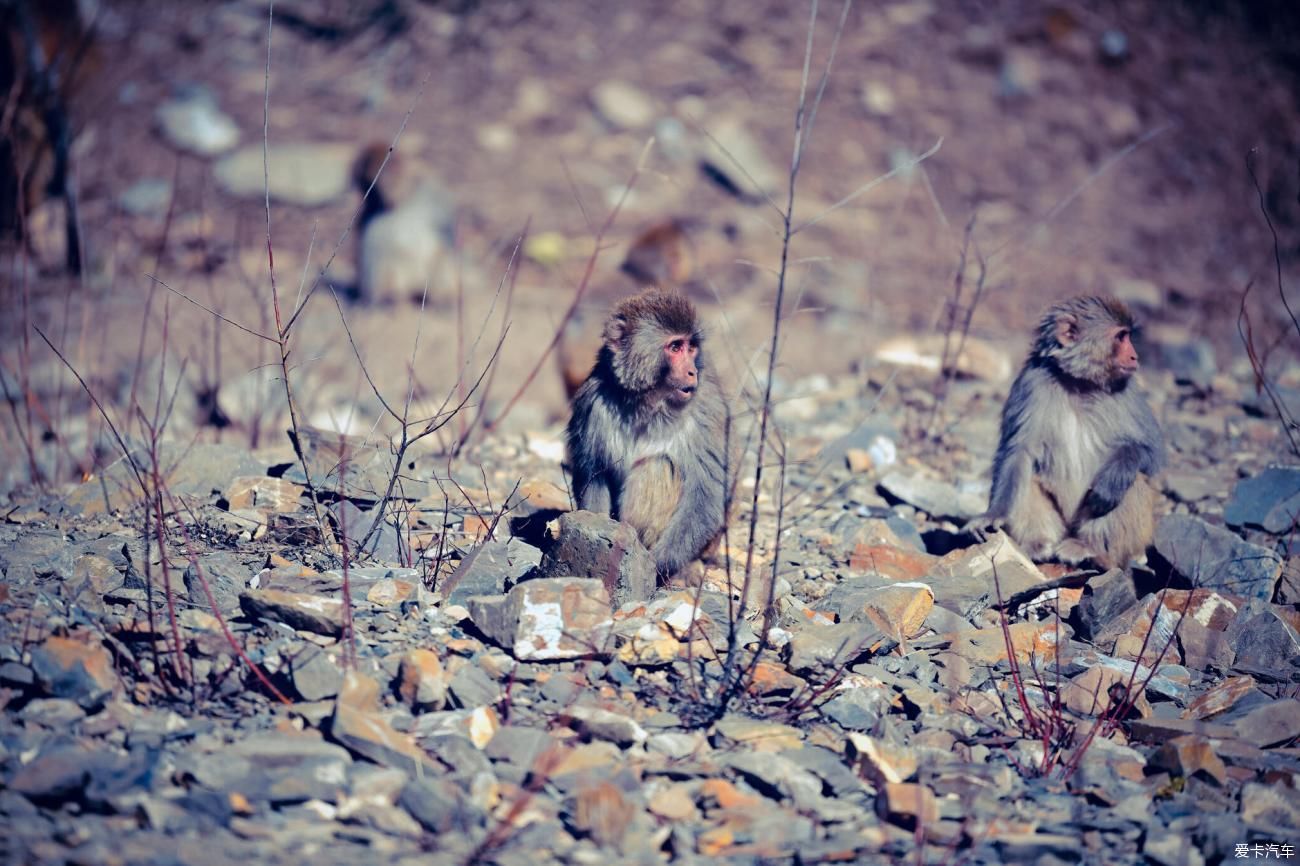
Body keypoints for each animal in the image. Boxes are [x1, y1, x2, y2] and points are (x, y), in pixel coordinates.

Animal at [351, 141, 457, 302]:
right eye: (373, 183)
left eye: (394, 174)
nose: (389, 192)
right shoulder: (369, 216)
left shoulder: (434, 193)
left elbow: (444, 233)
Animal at [566, 286, 733, 577]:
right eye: (675, 347)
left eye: (691, 347)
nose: (692, 372)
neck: (647, 404)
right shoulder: (591, 403)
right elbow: (594, 473)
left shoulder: (707, 407)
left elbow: (706, 495)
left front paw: (660, 562)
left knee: (657, 465)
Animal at [982, 293, 1170, 569]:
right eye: (1121, 337)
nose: (1135, 357)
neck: (1079, 383)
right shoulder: (1031, 382)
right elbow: (1018, 451)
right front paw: (994, 514)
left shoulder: (1129, 391)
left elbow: (1152, 452)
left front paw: (1111, 482)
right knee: (1027, 471)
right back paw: (1038, 545)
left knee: (1131, 480)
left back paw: (1090, 547)